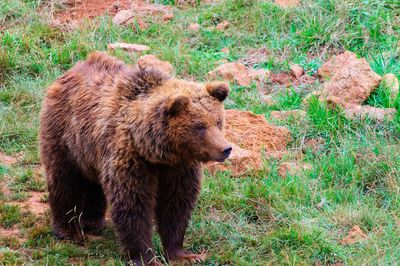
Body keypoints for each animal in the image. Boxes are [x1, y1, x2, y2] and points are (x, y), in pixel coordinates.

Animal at [39, 51, 233, 264]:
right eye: (200, 126)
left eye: (218, 121)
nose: (226, 148)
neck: (157, 151)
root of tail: (69, 72)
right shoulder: (131, 158)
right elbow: (132, 204)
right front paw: (146, 257)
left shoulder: (179, 167)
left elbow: (177, 204)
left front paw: (184, 254)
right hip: (65, 135)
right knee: (65, 180)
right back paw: (69, 230)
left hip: (90, 152)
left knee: (94, 183)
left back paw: (93, 221)